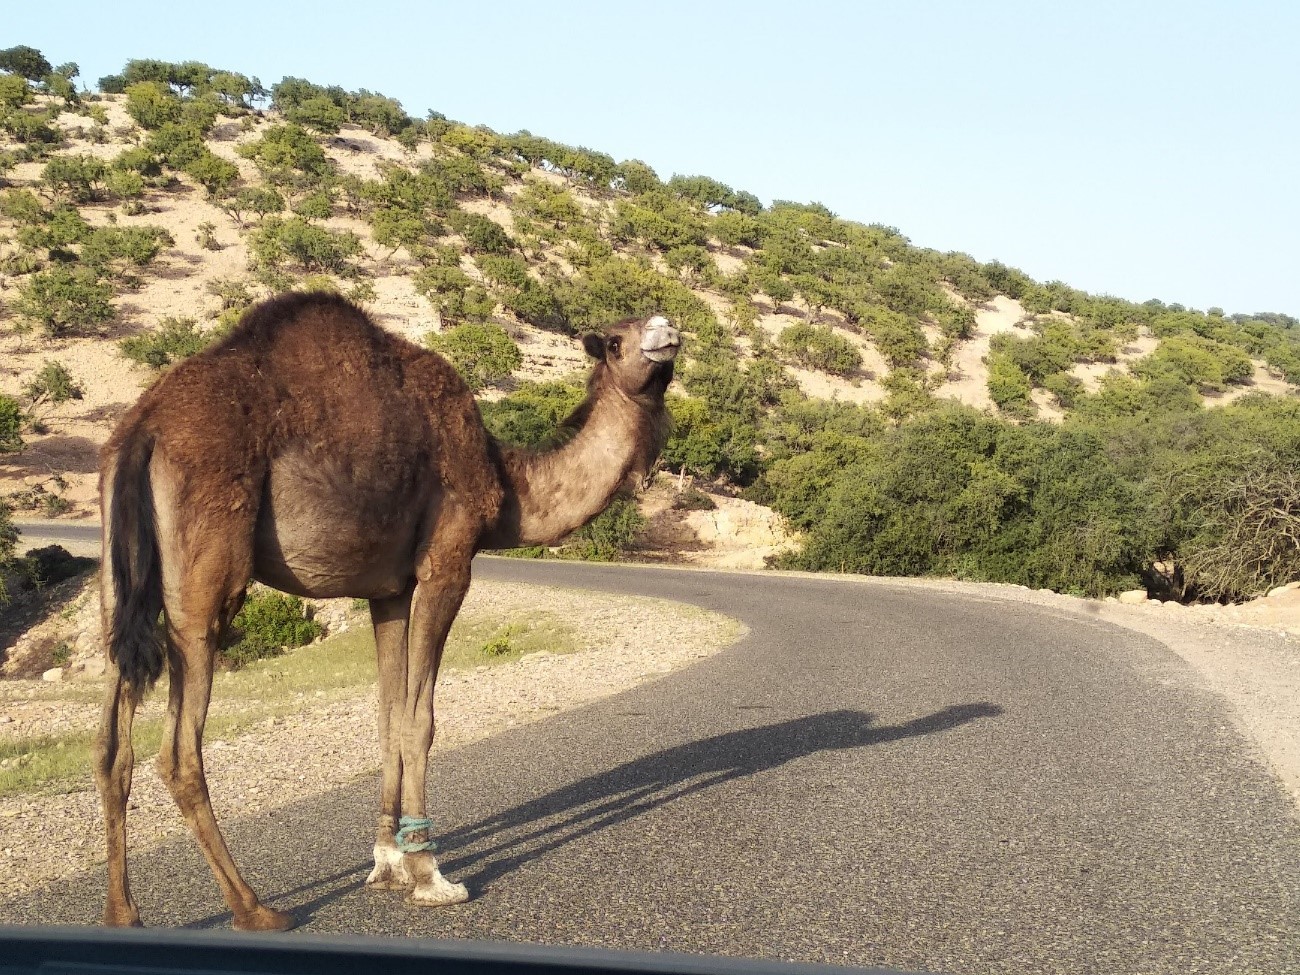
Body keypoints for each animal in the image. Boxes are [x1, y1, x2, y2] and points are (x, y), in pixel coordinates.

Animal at [94, 293, 681, 935]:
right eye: (618, 342)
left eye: (656, 323)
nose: (667, 332)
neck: (507, 485)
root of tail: (143, 429)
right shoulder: (447, 561)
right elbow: (420, 719)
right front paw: (430, 875)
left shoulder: (389, 589)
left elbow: (387, 714)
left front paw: (387, 861)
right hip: (207, 576)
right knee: (178, 750)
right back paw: (255, 909)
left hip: (120, 580)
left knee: (113, 743)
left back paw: (123, 913)